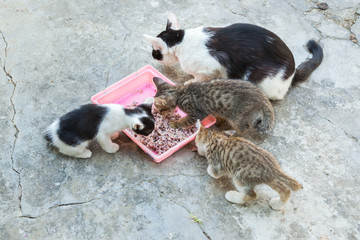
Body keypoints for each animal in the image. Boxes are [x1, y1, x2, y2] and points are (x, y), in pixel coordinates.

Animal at [143, 12, 324, 101]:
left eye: (155, 52)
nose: (153, 56)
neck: (181, 40)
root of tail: (292, 72)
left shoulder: (211, 66)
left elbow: (200, 77)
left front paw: (191, 81)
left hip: (259, 78)